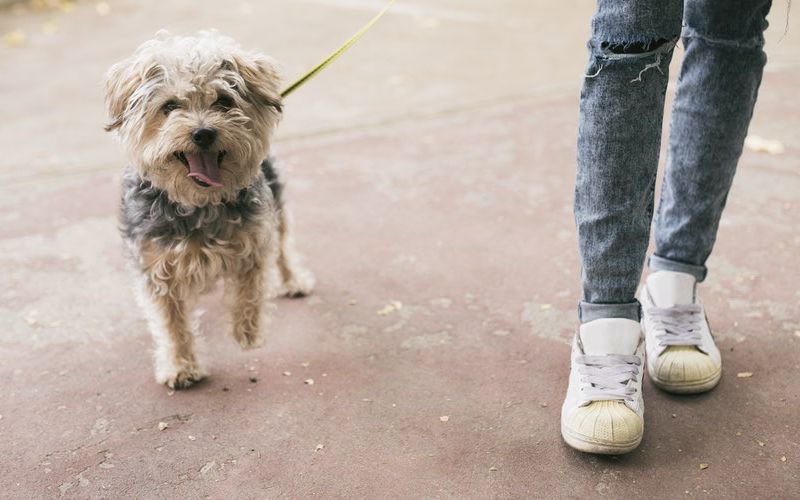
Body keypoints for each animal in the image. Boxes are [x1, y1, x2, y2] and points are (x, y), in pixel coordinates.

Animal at [105, 31, 316, 390]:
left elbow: (250, 287)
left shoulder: (255, 239)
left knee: (284, 247)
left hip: (277, 205)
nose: (203, 132)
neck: (198, 205)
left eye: (224, 101)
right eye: (170, 106)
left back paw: (293, 280)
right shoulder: (157, 268)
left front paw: (247, 331)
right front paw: (180, 365)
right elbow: (172, 322)